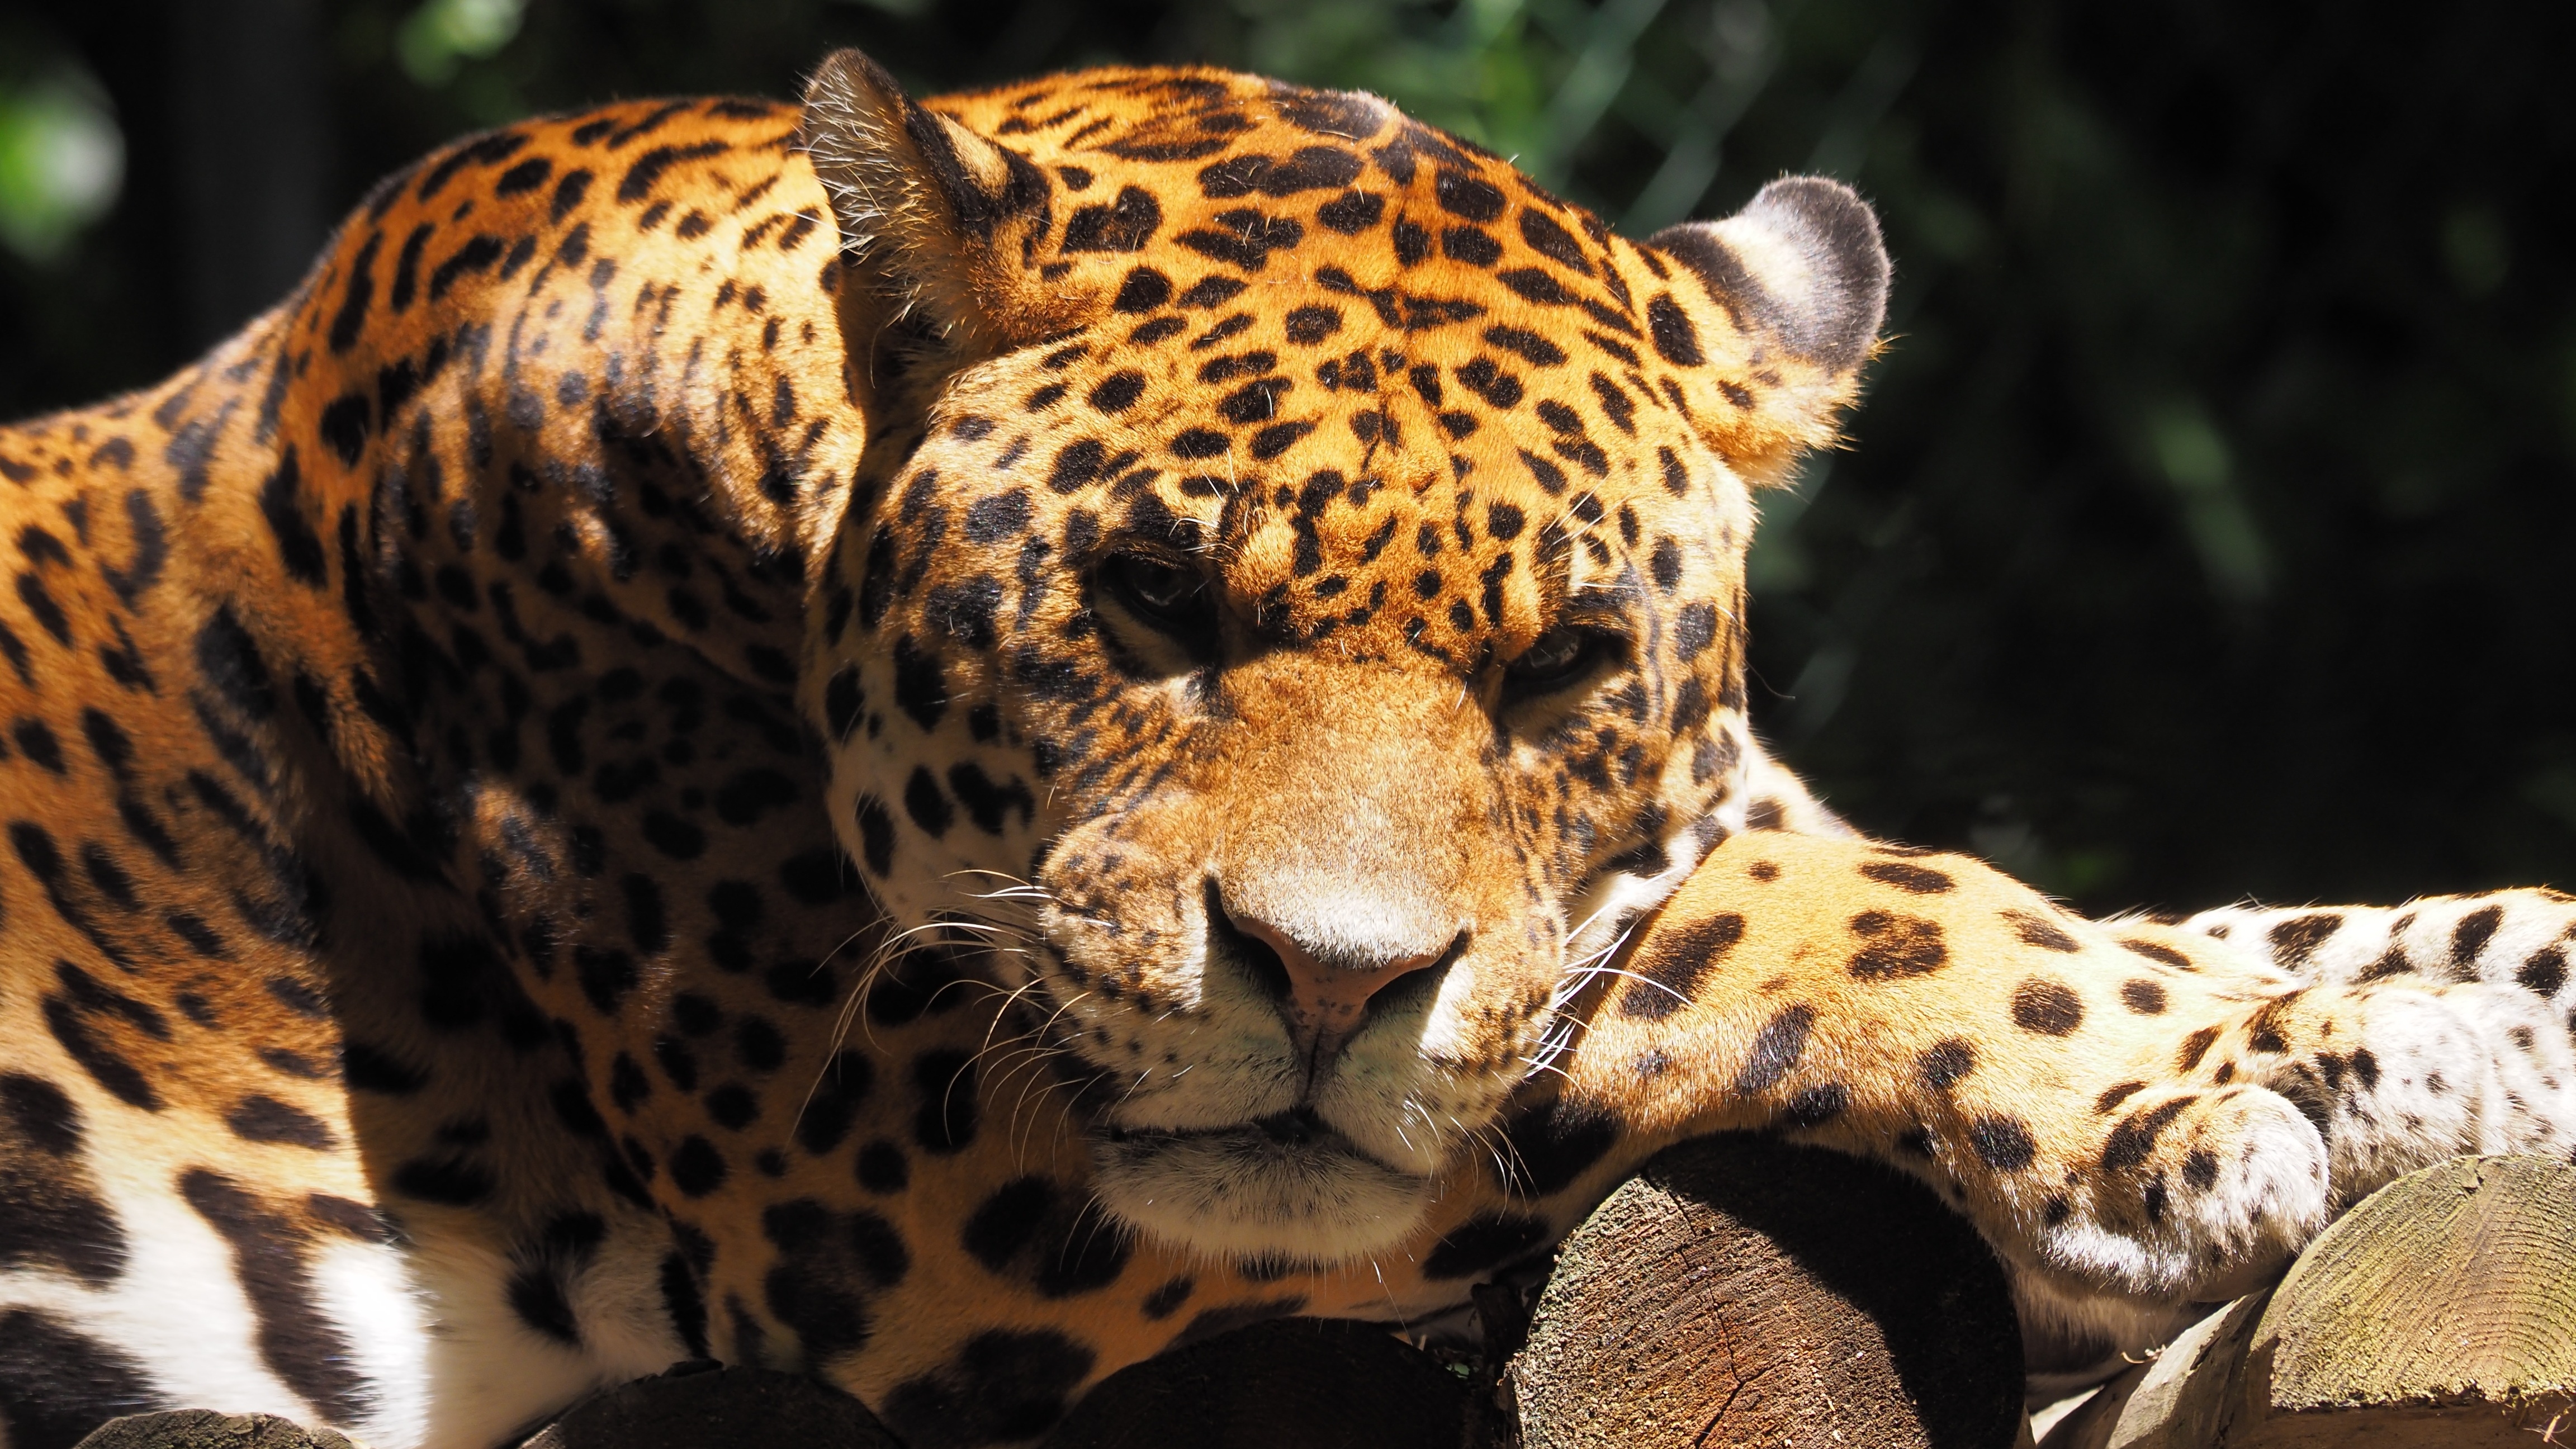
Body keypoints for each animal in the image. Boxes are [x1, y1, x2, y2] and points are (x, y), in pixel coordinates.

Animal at [2, 48, 2573, 1449]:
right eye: (1150, 597)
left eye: (1563, 665)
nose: (1328, 986)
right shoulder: (910, 1174)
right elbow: (1810, 920)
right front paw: (2292, 1074)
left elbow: (2173, 898)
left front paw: (2488, 982)